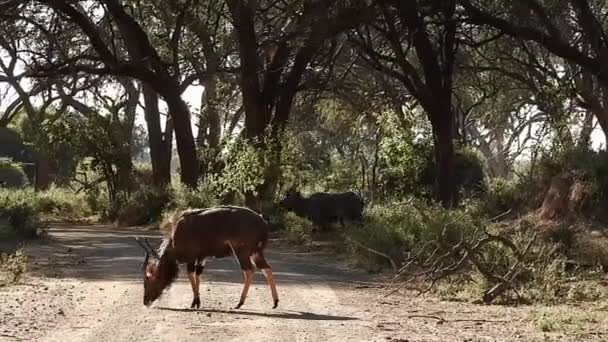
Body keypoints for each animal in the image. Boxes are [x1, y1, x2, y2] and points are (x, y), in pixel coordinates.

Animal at [134, 206, 280, 310]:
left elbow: (191, 274)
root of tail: (263, 223)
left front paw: (194, 302)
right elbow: (198, 275)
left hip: (241, 251)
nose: (145, 301)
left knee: (249, 270)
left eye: (149, 278)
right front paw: (197, 302)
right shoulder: (202, 257)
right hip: (256, 253)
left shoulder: (192, 257)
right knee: (267, 269)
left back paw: (239, 303)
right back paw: (275, 302)